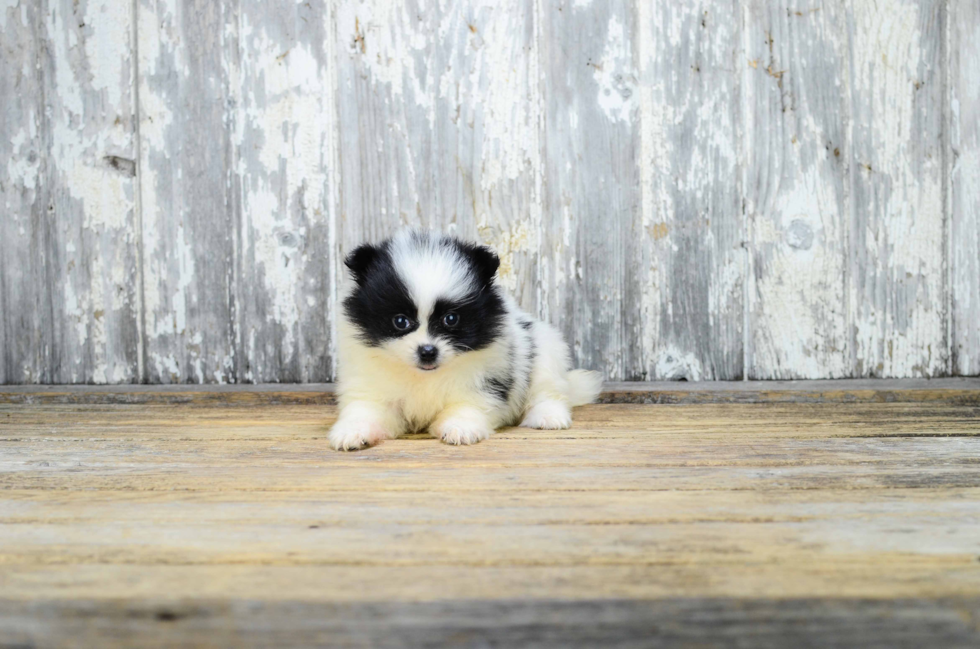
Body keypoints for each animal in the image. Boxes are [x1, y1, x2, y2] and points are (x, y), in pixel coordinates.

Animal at [330, 229, 604, 450]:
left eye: (451, 319)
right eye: (400, 321)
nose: (427, 351)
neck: (424, 376)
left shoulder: (483, 381)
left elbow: (467, 405)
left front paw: (460, 428)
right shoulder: (372, 385)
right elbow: (367, 410)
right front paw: (351, 432)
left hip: (545, 350)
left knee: (547, 391)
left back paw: (548, 417)